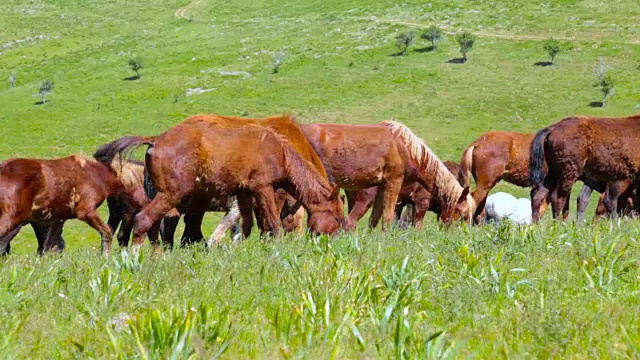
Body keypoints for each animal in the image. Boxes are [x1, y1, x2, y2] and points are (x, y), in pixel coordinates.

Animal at [101, 121, 344, 250]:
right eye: (337, 217)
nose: (333, 241)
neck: (280, 151)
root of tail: (156, 140)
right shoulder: (263, 188)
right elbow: (272, 223)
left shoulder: (244, 194)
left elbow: (247, 227)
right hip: (170, 195)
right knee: (144, 221)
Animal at [302, 121, 476, 228]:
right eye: (463, 215)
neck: (406, 148)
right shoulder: (394, 183)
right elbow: (388, 218)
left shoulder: (381, 187)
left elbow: (374, 219)